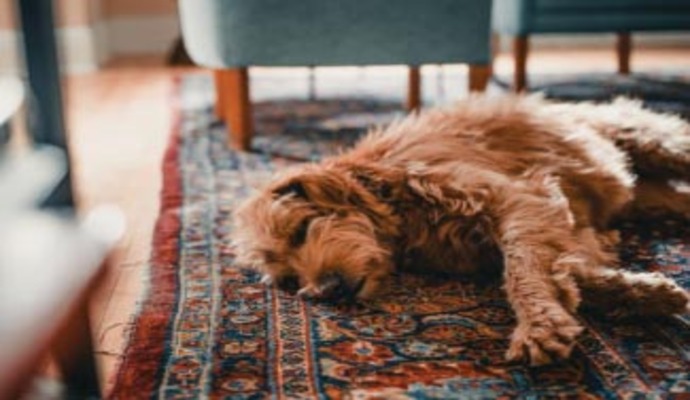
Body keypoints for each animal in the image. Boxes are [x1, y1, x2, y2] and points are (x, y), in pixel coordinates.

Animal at [232, 94, 688, 366]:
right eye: (288, 280)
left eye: (302, 229)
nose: (326, 291)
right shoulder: (556, 232)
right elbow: (573, 272)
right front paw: (645, 293)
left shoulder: (521, 199)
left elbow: (523, 271)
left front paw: (537, 325)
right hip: (649, 195)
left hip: (653, 142)